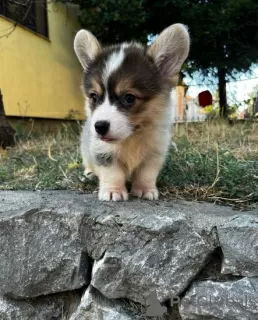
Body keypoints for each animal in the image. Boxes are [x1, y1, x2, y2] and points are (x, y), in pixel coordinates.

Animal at [74, 23, 189, 201]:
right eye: (94, 97)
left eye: (129, 98)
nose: (99, 127)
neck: (132, 137)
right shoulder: (103, 152)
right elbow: (112, 173)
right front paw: (113, 191)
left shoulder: (154, 153)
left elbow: (146, 174)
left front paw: (145, 189)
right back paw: (89, 175)